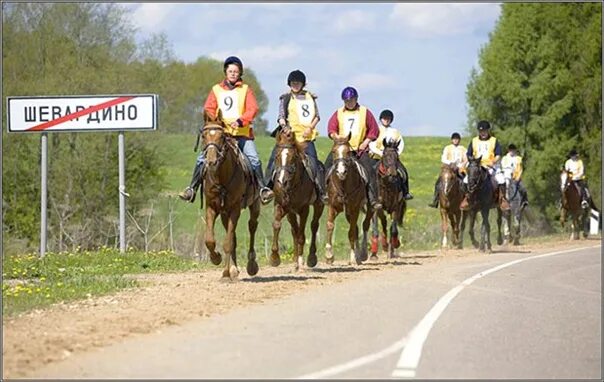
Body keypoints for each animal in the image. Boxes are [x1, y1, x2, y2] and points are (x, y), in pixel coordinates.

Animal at [201, 111, 260, 280]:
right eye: (203, 135)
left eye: (222, 136)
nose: (211, 161)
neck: (221, 177)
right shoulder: (211, 207)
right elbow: (210, 240)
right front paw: (216, 259)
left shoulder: (234, 208)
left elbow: (227, 242)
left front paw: (226, 274)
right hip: (224, 214)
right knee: (232, 235)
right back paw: (234, 269)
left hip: (254, 206)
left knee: (252, 227)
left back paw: (251, 265)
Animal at [270, 127, 326, 270]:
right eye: (277, 156)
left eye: (293, 157)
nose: (281, 181)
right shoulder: (282, 206)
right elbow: (278, 225)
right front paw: (275, 258)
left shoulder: (304, 209)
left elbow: (301, 235)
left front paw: (301, 260)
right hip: (291, 213)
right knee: (294, 230)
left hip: (319, 205)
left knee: (313, 226)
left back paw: (310, 258)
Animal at [326, 134, 372, 266]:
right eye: (334, 151)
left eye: (348, 152)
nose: (341, 172)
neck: (343, 185)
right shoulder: (332, 206)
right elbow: (330, 225)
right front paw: (329, 256)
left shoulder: (354, 208)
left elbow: (351, 233)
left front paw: (352, 258)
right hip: (348, 213)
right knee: (356, 228)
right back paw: (358, 256)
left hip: (369, 208)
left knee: (365, 225)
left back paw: (362, 254)